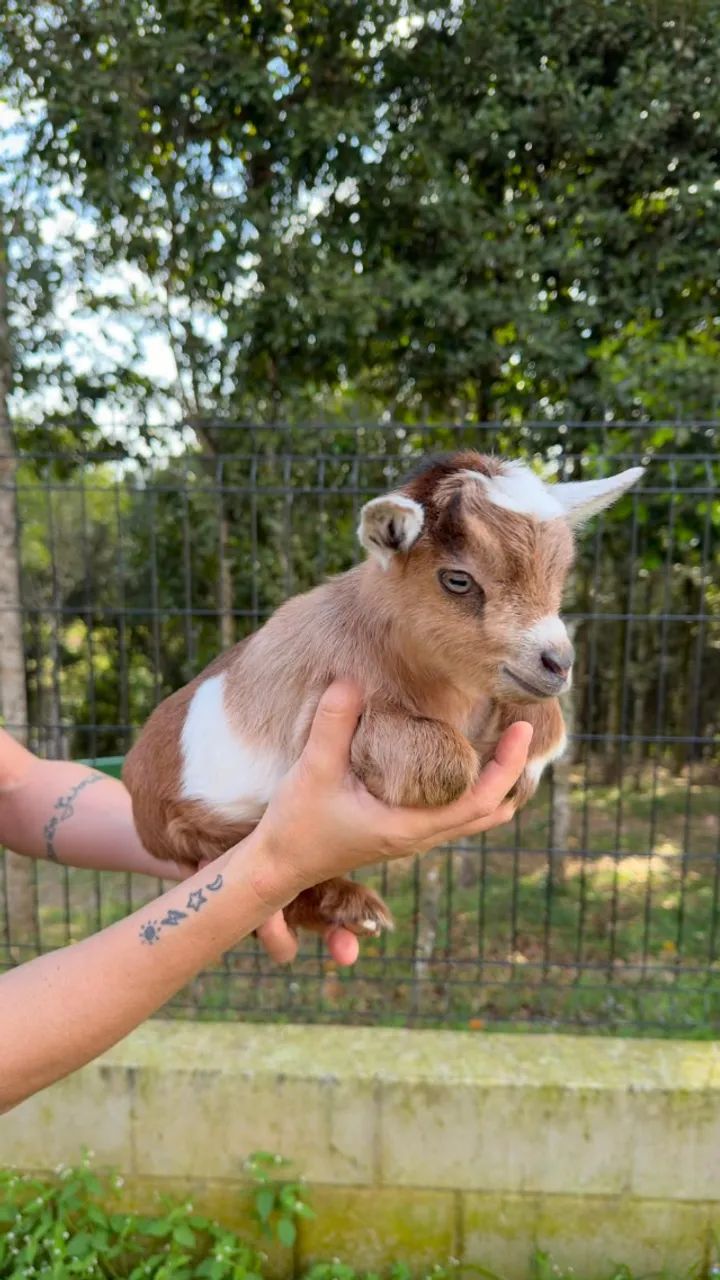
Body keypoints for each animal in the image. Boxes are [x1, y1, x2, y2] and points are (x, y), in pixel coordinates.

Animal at [123, 452, 643, 936]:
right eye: (458, 579)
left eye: (558, 578)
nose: (557, 662)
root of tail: (133, 782)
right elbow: (450, 763)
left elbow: (546, 725)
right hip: (189, 831)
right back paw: (353, 909)